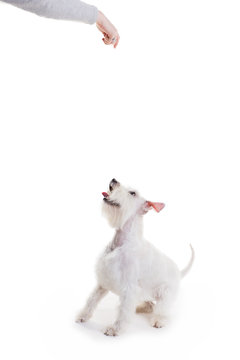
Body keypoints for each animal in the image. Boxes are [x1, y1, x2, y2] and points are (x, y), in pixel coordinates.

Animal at [77, 179, 195, 336]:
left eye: (132, 193)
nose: (113, 180)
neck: (122, 241)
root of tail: (179, 272)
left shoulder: (129, 288)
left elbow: (123, 311)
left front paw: (114, 329)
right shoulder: (103, 281)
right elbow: (91, 300)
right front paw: (82, 316)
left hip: (165, 293)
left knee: (161, 309)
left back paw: (158, 320)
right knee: (150, 304)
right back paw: (140, 308)